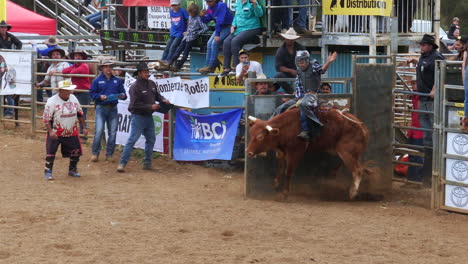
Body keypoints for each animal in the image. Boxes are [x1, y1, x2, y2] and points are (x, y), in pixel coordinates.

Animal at [247, 107, 378, 200]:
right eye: (251, 134)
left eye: (260, 137)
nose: (248, 152)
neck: (286, 128)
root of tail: (362, 126)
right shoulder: (281, 152)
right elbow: (280, 168)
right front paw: (275, 183)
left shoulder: (295, 153)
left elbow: (288, 172)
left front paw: (284, 193)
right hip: (343, 151)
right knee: (358, 166)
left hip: (346, 151)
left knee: (357, 170)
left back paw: (352, 192)